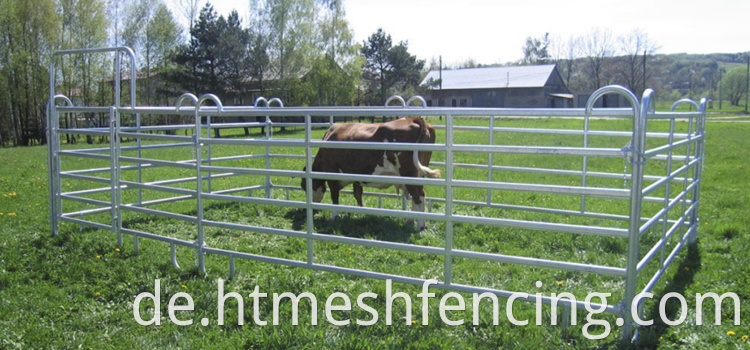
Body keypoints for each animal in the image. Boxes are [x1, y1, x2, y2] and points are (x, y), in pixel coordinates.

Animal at [302, 117, 440, 230]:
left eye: (304, 187)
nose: (312, 207)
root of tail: (412, 118)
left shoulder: (332, 176)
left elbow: (335, 197)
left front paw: (334, 216)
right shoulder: (356, 176)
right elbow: (357, 194)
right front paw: (361, 211)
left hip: (409, 174)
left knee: (418, 195)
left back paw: (420, 225)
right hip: (418, 174)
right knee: (417, 196)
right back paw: (410, 221)